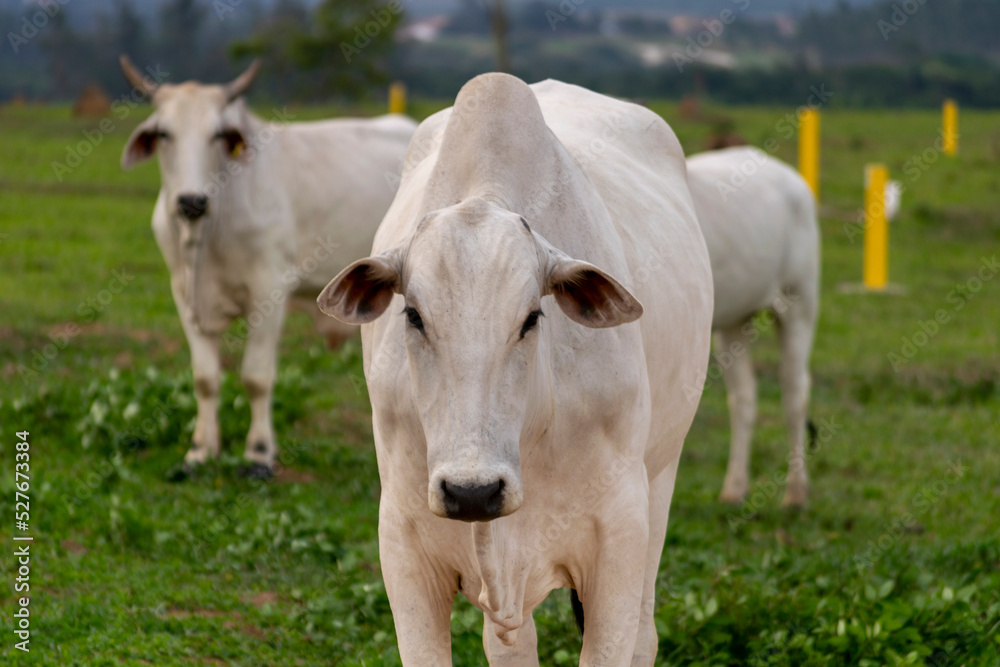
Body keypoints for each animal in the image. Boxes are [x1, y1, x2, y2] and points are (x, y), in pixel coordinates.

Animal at [119, 54, 416, 478]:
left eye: (218, 134)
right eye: (163, 133)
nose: (191, 201)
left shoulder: (270, 291)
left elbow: (256, 377)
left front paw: (258, 453)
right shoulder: (183, 294)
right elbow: (205, 378)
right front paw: (200, 449)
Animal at [316, 70, 716, 664]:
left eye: (531, 317)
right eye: (413, 314)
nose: (472, 491)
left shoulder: (619, 541)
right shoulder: (404, 547)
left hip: (662, 477)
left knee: (646, 634)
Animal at [688, 147, 820, 506]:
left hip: (799, 302)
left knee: (794, 393)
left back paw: (796, 493)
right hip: (732, 322)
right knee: (744, 399)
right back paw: (734, 488)